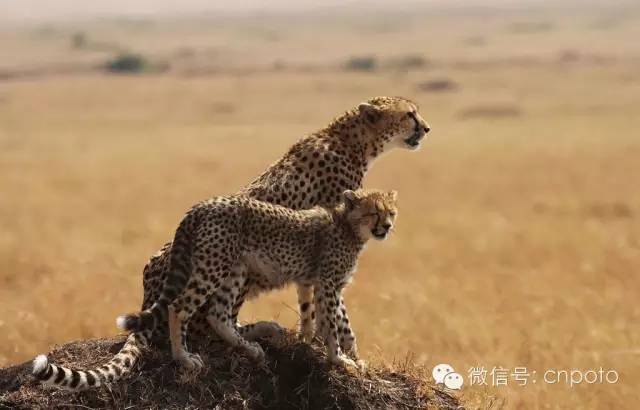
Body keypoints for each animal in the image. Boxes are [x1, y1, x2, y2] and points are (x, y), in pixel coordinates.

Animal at [31, 96, 430, 388]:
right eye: (409, 113)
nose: (426, 128)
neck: (349, 139)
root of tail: (147, 287)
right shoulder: (326, 253)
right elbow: (339, 314)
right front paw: (348, 356)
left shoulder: (311, 262)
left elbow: (311, 307)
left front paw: (313, 342)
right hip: (225, 270)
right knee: (202, 318)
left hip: (235, 268)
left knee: (220, 318)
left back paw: (265, 335)